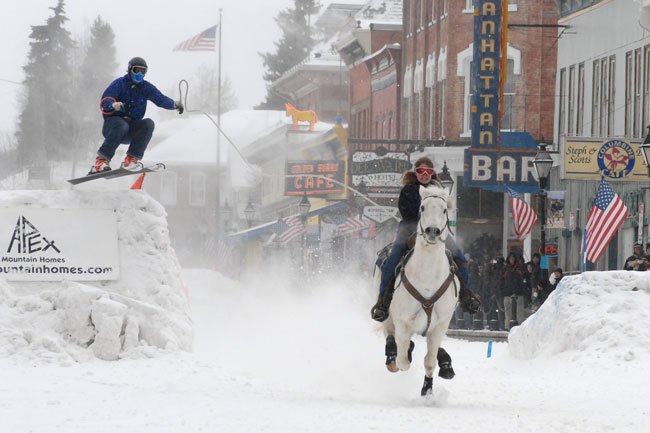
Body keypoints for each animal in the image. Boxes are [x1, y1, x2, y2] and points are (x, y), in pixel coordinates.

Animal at [374, 182, 456, 394]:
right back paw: (391, 353)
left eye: (444, 209)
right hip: (387, 315)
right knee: (391, 338)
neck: (427, 276)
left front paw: (428, 389)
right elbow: (403, 362)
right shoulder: (403, 322)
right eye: (423, 207)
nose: (432, 231)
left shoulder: (440, 325)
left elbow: (430, 361)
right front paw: (400, 355)